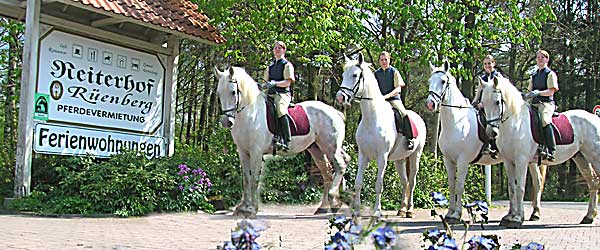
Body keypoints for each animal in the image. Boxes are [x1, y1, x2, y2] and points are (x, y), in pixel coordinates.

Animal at [216, 66, 350, 217]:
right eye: (219, 93)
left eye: (233, 92)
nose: (226, 122)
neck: (250, 114)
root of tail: (335, 112)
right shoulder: (243, 152)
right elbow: (246, 179)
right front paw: (242, 207)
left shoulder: (256, 152)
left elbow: (254, 178)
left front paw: (251, 209)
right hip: (316, 149)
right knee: (327, 172)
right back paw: (323, 207)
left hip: (330, 147)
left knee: (340, 166)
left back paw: (335, 202)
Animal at [338, 53, 426, 218]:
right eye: (343, 74)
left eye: (355, 75)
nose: (341, 97)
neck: (372, 118)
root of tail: (419, 119)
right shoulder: (363, 155)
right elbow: (358, 183)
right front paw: (357, 210)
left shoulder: (382, 157)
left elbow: (379, 185)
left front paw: (377, 211)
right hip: (399, 160)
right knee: (405, 181)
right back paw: (401, 209)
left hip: (415, 156)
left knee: (412, 182)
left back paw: (409, 210)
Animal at [424, 62, 552, 223]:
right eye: (429, 81)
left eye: (442, 81)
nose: (430, 104)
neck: (456, 122)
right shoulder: (449, 160)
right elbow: (452, 186)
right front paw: (449, 213)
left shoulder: (462, 161)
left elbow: (459, 186)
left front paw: (457, 214)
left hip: (529, 161)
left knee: (537, 182)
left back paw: (535, 213)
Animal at [480, 77, 600, 228]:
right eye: (483, 103)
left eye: (497, 101)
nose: (491, 132)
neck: (515, 123)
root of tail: (595, 118)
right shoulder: (508, 162)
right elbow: (511, 188)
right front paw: (509, 217)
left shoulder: (521, 161)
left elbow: (520, 187)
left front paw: (517, 218)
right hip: (581, 158)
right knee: (593, 183)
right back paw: (588, 216)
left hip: (594, 157)